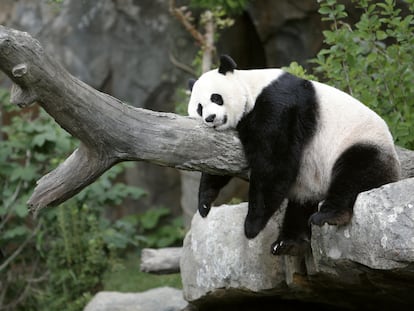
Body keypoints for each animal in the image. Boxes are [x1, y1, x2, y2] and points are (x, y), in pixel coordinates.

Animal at [188, 54, 402, 258]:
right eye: (199, 107)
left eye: (216, 98)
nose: (210, 118)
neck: (251, 88)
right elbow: (219, 161)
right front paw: (205, 203)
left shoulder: (278, 105)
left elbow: (273, 163)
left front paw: (251, 226)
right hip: (310, 182)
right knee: (301, 204)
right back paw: (289, 242)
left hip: (361, 143)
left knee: (354, 174)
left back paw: (329, 215)